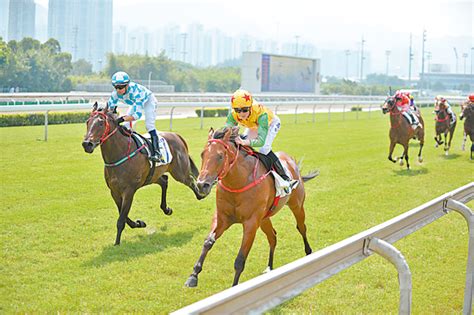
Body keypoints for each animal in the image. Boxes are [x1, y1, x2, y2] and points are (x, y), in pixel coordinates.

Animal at [83, 102, 206, 246]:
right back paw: (166, 209)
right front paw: (139, 223)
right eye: (87, 122)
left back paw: (201, 194)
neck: (119, 154)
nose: (87, 144)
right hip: (153, 175)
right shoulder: (114, 191)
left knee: (190, 181)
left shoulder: (129, 191)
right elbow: (124, 217)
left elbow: (121, 219)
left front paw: (117, 242)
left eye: (101, 123)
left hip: (179, 172)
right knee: (164, 180)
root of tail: (176, 135)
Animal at [185, 127, 318, 288]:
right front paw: (193, 276)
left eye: (220, 156)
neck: (237, 182)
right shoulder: (222, 218)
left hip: (297, 205)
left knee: (301, 227)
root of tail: (291, 162)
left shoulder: (250, 223)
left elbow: (240, 260)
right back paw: (269, 267)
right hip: (264, 219)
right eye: (202, 154)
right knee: (272, 237)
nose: (201, 185)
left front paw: (234, 288)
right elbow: (208, 242)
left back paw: (308, 252)